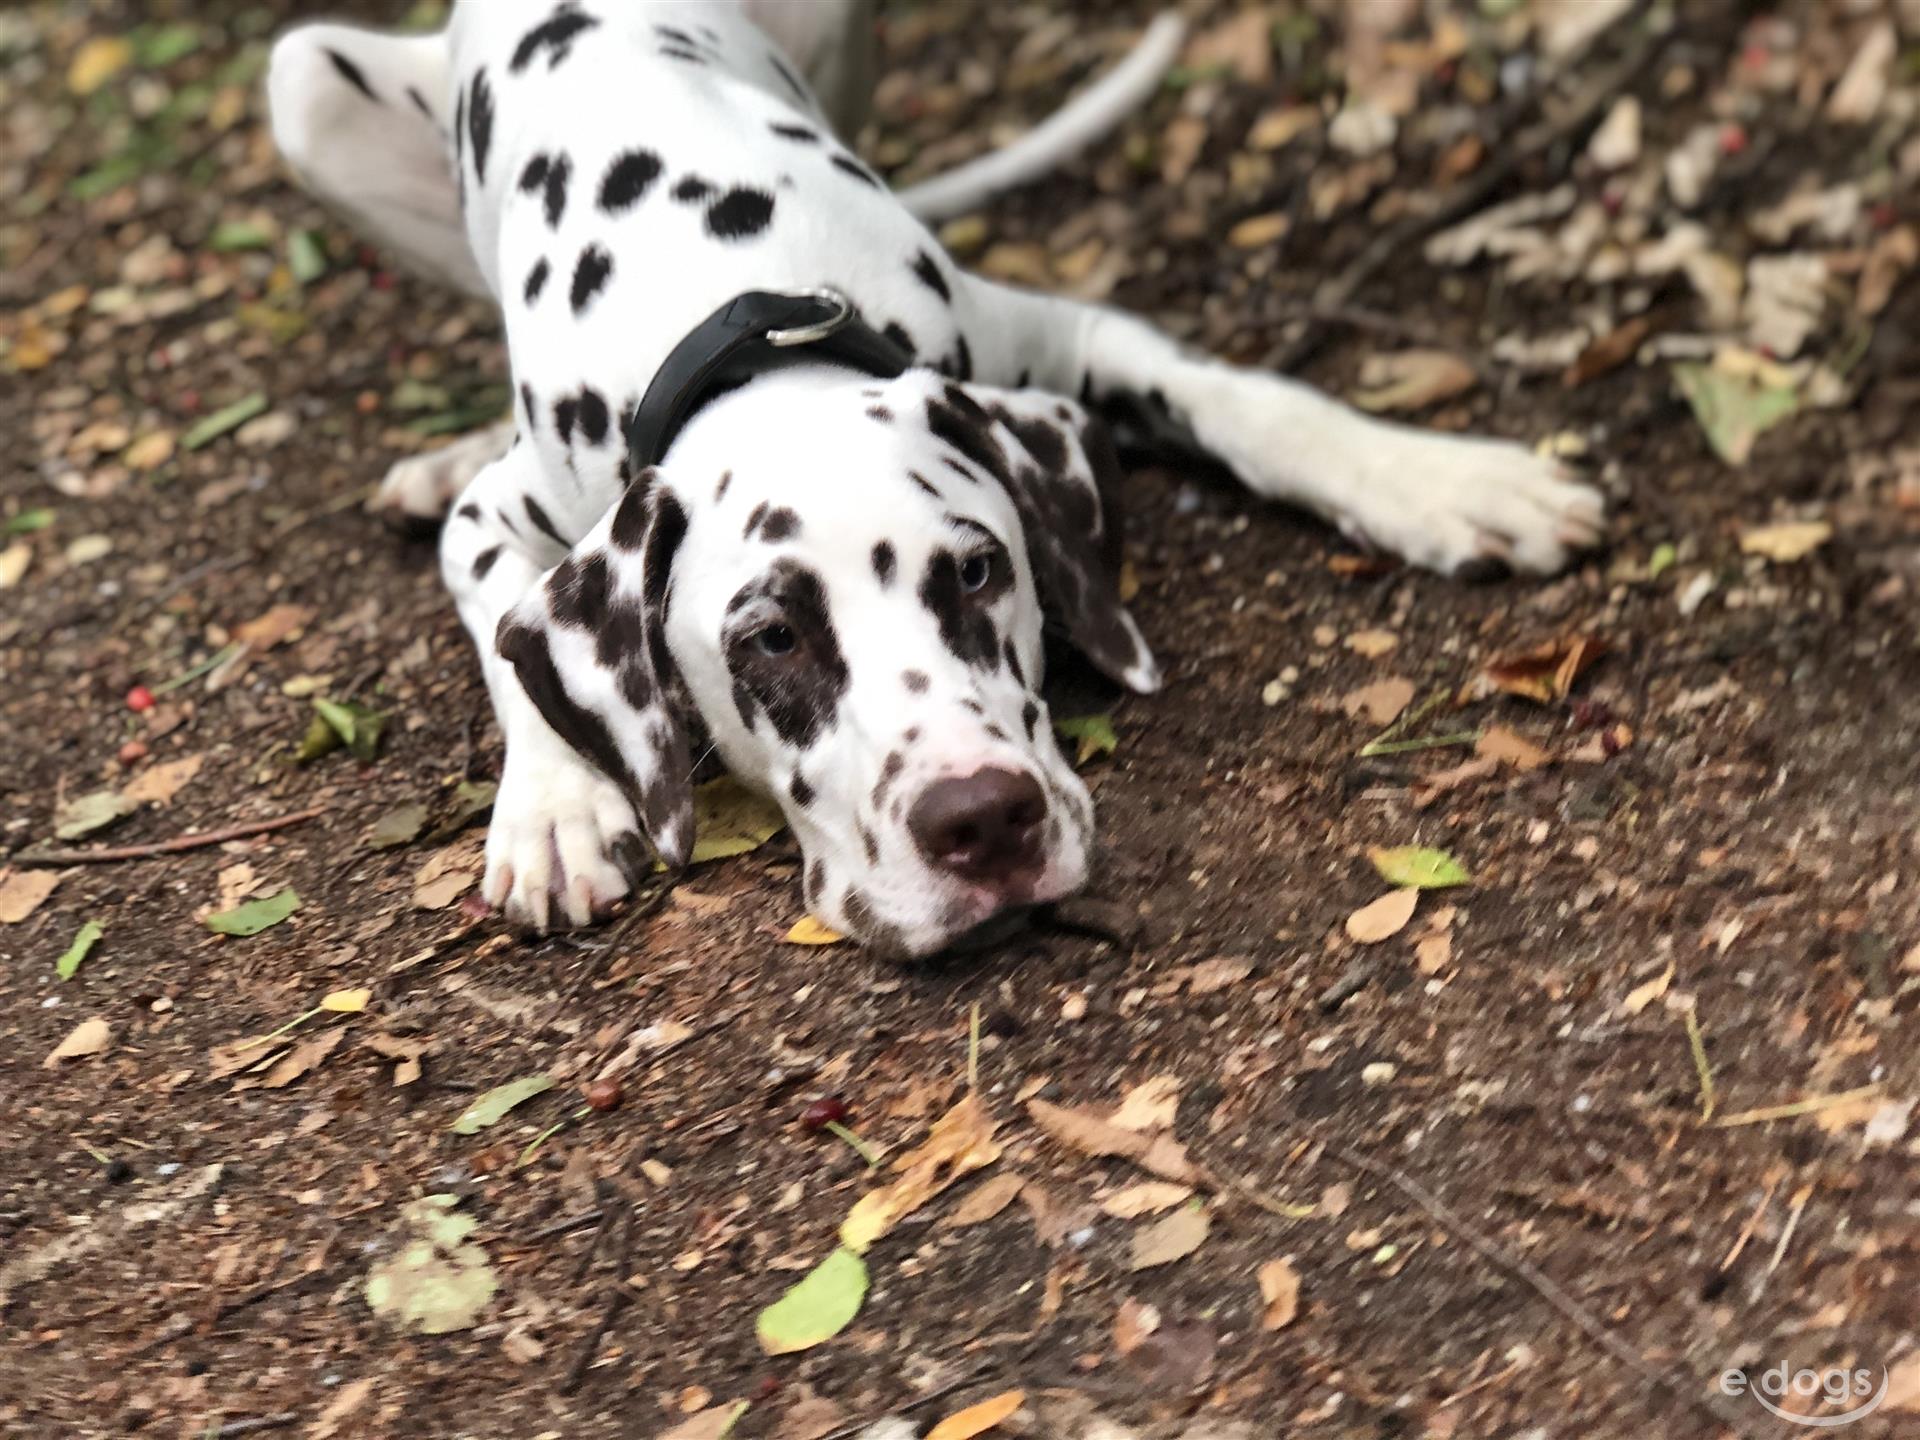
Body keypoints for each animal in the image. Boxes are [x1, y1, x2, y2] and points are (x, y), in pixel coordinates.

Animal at [270, 8, 1605, 971]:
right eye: (768, 639)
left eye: (976, 566)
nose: (982, 822)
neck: (732, 290)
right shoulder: (505, 515)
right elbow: (509, 634)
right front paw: (553, 809)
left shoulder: (1057, 337)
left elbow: (1256, 404)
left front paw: (1441, 477)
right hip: (304, 88)